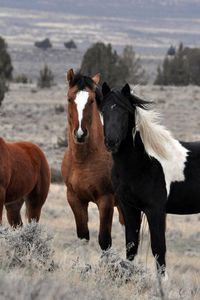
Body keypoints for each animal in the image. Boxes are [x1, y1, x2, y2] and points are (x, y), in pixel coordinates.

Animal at [61, 70, 123, 251]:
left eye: (92, 100)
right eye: (69, 98)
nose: (80, 134)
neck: (83, 161)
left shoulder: (105, 200)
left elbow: (104, 241)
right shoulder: (75, 199)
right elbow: (83, 237)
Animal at [100, 81, 200, 274]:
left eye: (124, 111)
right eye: (104, 110)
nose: (112, 142)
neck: (145, 162)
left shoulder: (155, 210)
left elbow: (159, 250)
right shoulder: (129, 208)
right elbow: (131, 246)